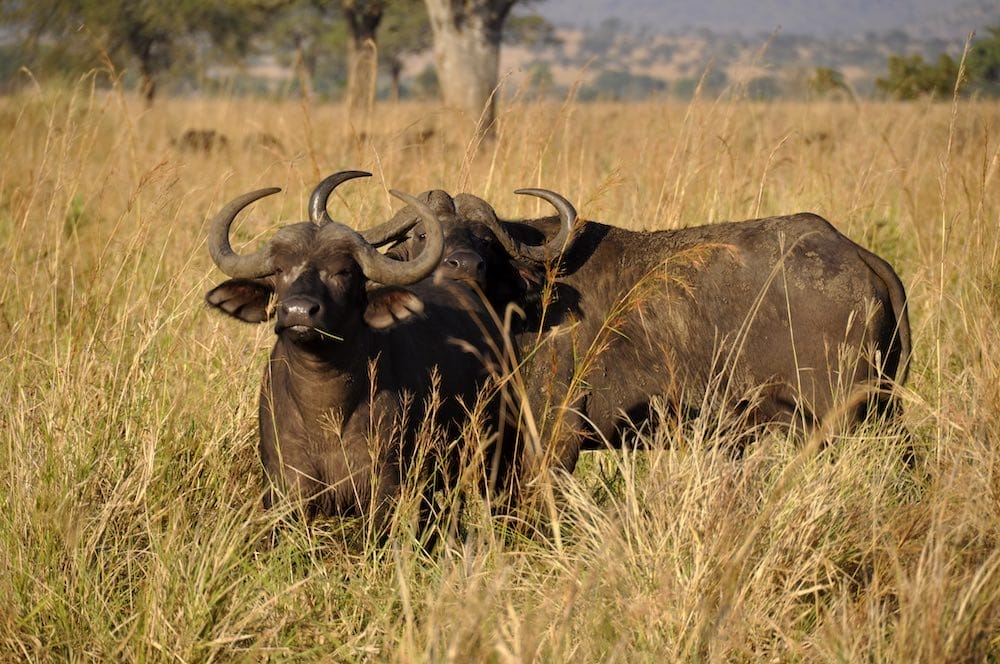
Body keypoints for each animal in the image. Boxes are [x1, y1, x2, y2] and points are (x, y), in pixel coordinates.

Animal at [206, 172, 512, 536]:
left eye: (343, 271)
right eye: (280, 270)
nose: (298, 311)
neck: (325, 413)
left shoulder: (386, 485)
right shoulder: (284, 486)